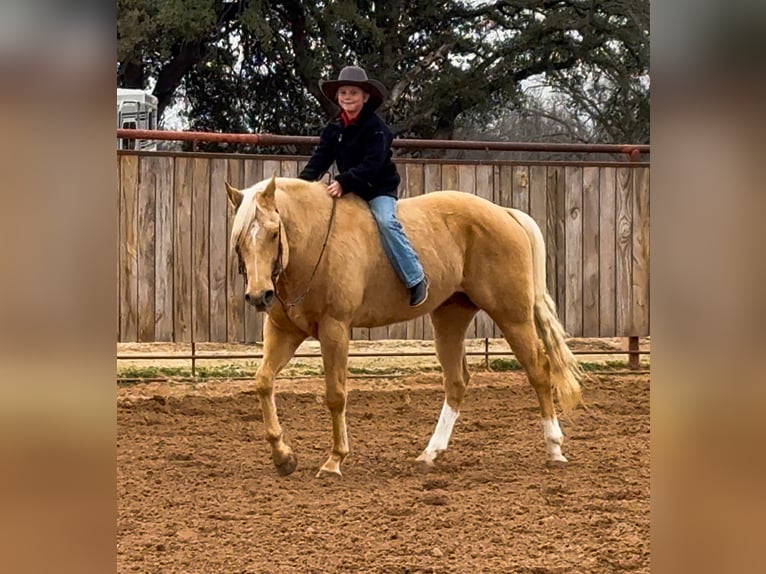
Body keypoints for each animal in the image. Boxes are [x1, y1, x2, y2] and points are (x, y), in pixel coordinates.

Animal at [226, 175, 585, 478]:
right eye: (240, 240)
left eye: (274, 232)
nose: (259, 295)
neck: (315, 243)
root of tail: (505, 213)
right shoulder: (283, 331)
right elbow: (263, 382)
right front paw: (283, 457)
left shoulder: (334, 329)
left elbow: (335, 395)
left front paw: (334, 460)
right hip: (450, 318)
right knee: (456, 382)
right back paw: (430, 454)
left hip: (513, 316)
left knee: (539, 371)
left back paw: (554, 449)